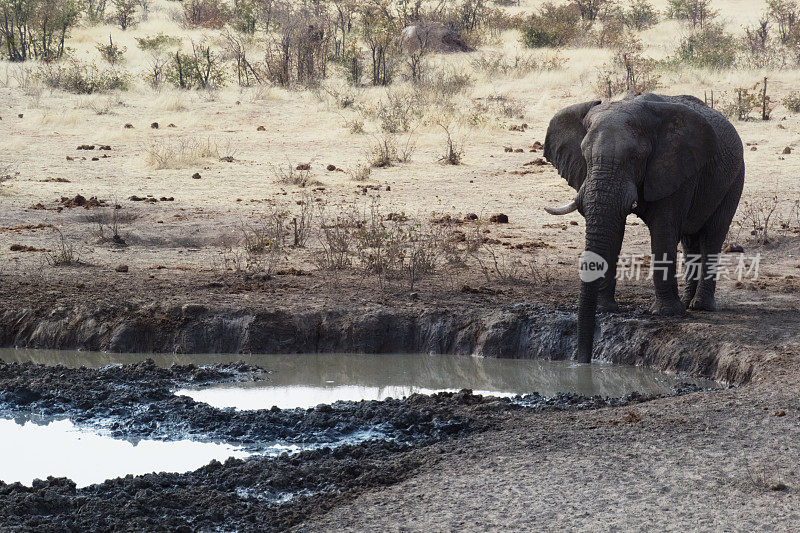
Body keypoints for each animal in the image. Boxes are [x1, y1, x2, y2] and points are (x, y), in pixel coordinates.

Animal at [544, 94, 744, 362]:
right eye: (585, 156)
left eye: (634, 158)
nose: (582, 361)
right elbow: (613, 230)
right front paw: (605, 308)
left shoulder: (674, 168)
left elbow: (663, 232)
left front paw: (667, 313)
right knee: (690, 241)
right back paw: (689, 301)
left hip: (734, 178)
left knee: (713, 235)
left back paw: (700, 306)